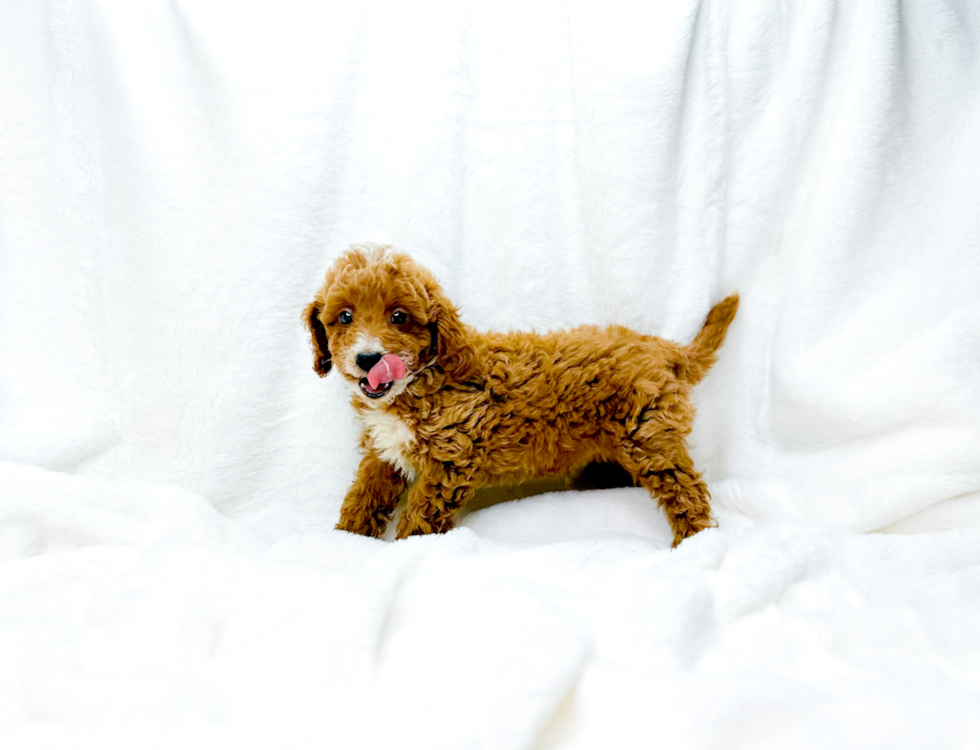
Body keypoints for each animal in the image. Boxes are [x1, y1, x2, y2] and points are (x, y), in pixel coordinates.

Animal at [302, 245, 740, 548]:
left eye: (399, 317)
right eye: (344, 317)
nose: (368, 358)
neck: (419, 383)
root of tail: (660, 347)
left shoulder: (453, 459)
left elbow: (422, 510)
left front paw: (407, 547)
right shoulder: (384, 450)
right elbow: (365, 493)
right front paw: (346, 539)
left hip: (649, 437)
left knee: (684, 488)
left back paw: (695, 541)